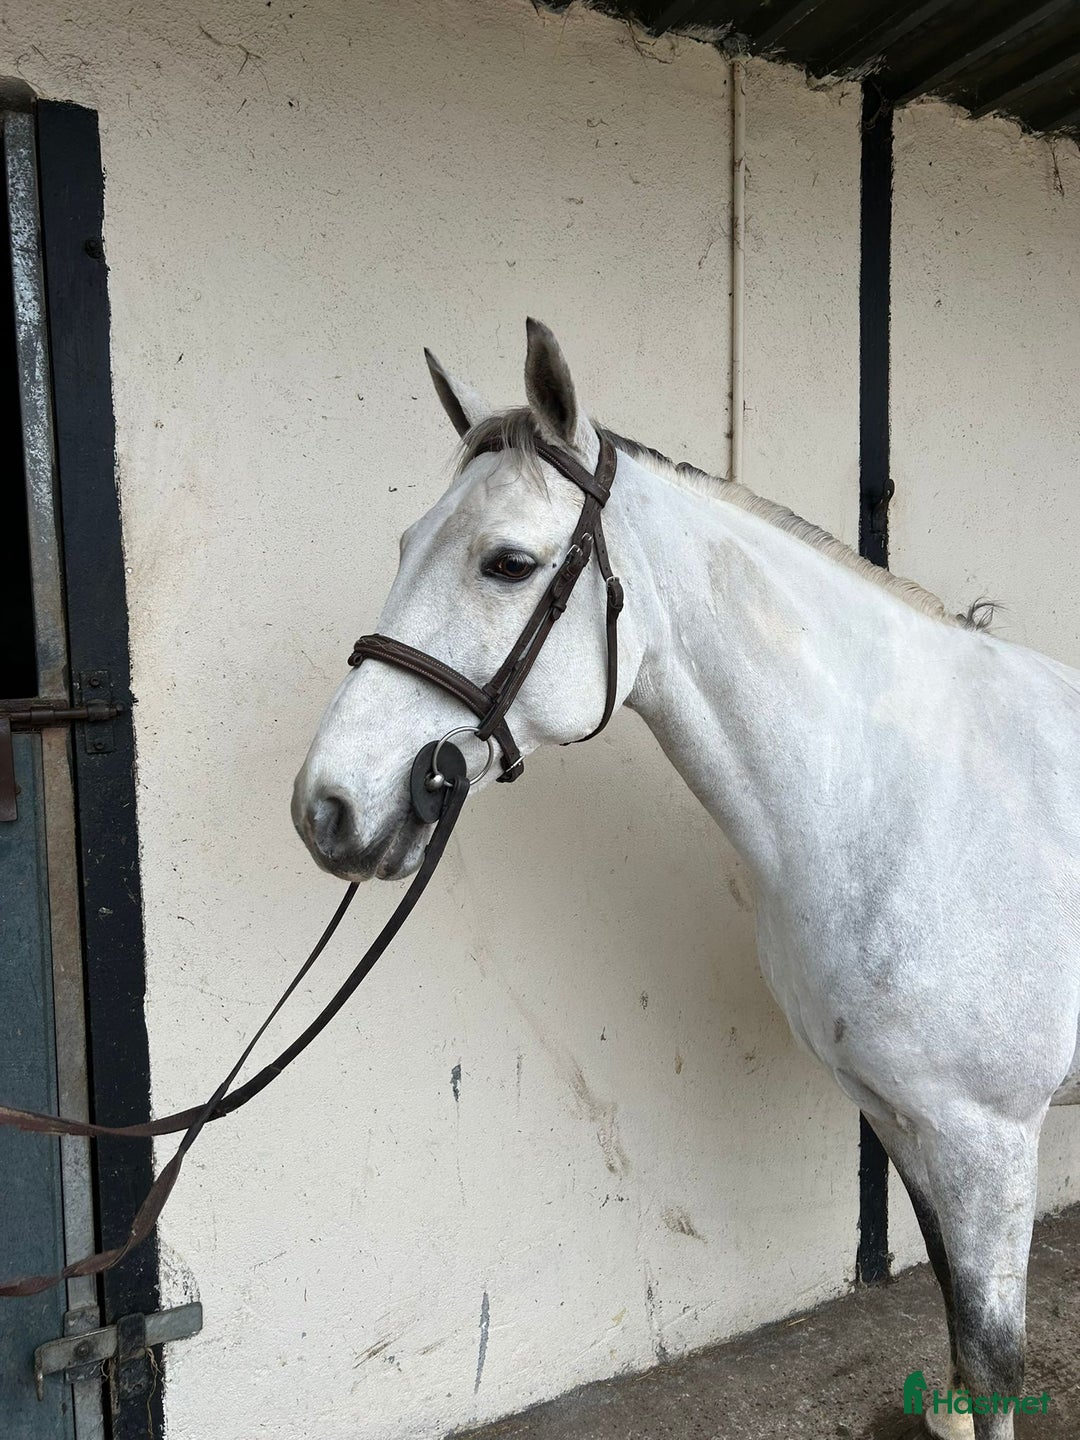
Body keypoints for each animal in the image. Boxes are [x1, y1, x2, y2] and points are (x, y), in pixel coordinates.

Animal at [292, 318, 1080, 1440]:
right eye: (406, 545)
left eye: (508, 563)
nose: (329, 808)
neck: (908, 798)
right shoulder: (908, 1119)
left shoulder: (988, 1137)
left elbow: (991, 1359)